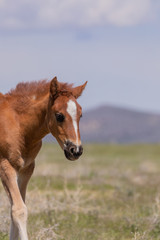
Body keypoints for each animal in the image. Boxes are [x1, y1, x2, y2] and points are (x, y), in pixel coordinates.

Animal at [0, 77, 87, 240]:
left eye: (80, 115)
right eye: (59, 116)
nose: (76, 150)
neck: (19, 125)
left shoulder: (26, 169)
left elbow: (16, 207)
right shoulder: (5, 166)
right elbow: (19, 210)